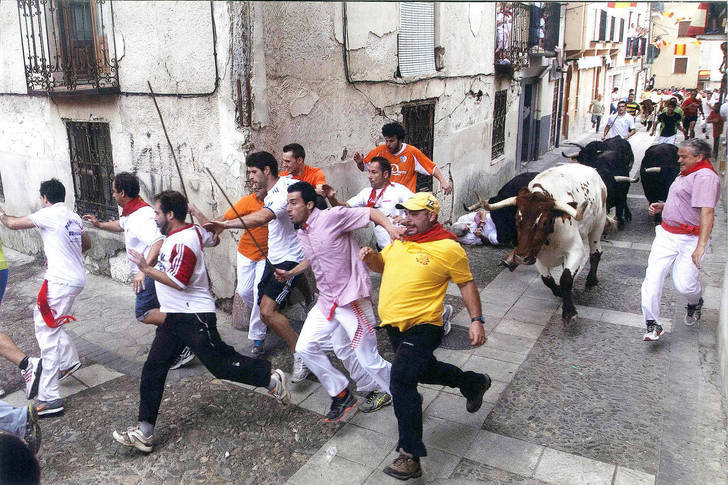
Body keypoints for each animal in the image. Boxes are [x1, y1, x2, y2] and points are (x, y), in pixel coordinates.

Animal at [484, 164, 616, 324]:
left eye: (545, 222)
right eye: (517, 219)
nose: (520, 258)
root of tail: (591, 169)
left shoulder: (575, 250)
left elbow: (566, 278)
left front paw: (569, 312)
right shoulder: (535, 255)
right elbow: (547, 280)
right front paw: (559, 292)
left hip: (598, 224)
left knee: (596, 253)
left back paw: (591, 281)